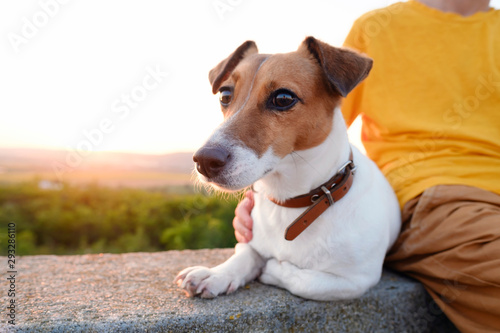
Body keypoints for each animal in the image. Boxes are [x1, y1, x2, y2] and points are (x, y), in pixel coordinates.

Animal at [174, 37, 400, 300]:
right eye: (225, 94)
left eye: (283, 98)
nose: (204, 160)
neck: (292, 202)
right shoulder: (250, 237)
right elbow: (245, 253)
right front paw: (216, 274)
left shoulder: (355, 280)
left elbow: (301, 279)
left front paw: (271, 268)